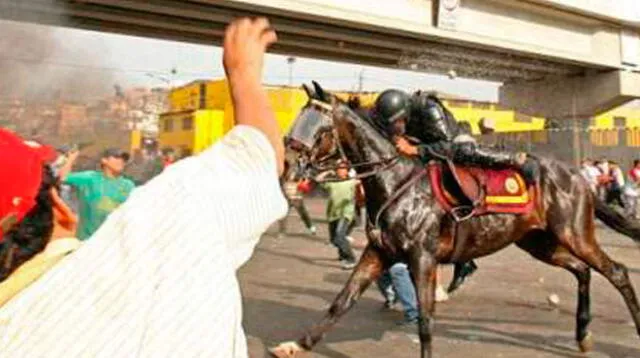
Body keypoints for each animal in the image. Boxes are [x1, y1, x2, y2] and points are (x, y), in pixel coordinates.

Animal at [268, 82, 640, 356]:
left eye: (318, 128)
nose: (288, 167)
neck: (394, 183)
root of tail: (579, 177)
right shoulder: (379, 252)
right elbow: (341, 301)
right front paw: (297, 344)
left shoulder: (423, 257)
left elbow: (425, 322)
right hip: (538, 242)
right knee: (582, 271)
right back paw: (582, 334)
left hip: (575, 232)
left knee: (617, 272)